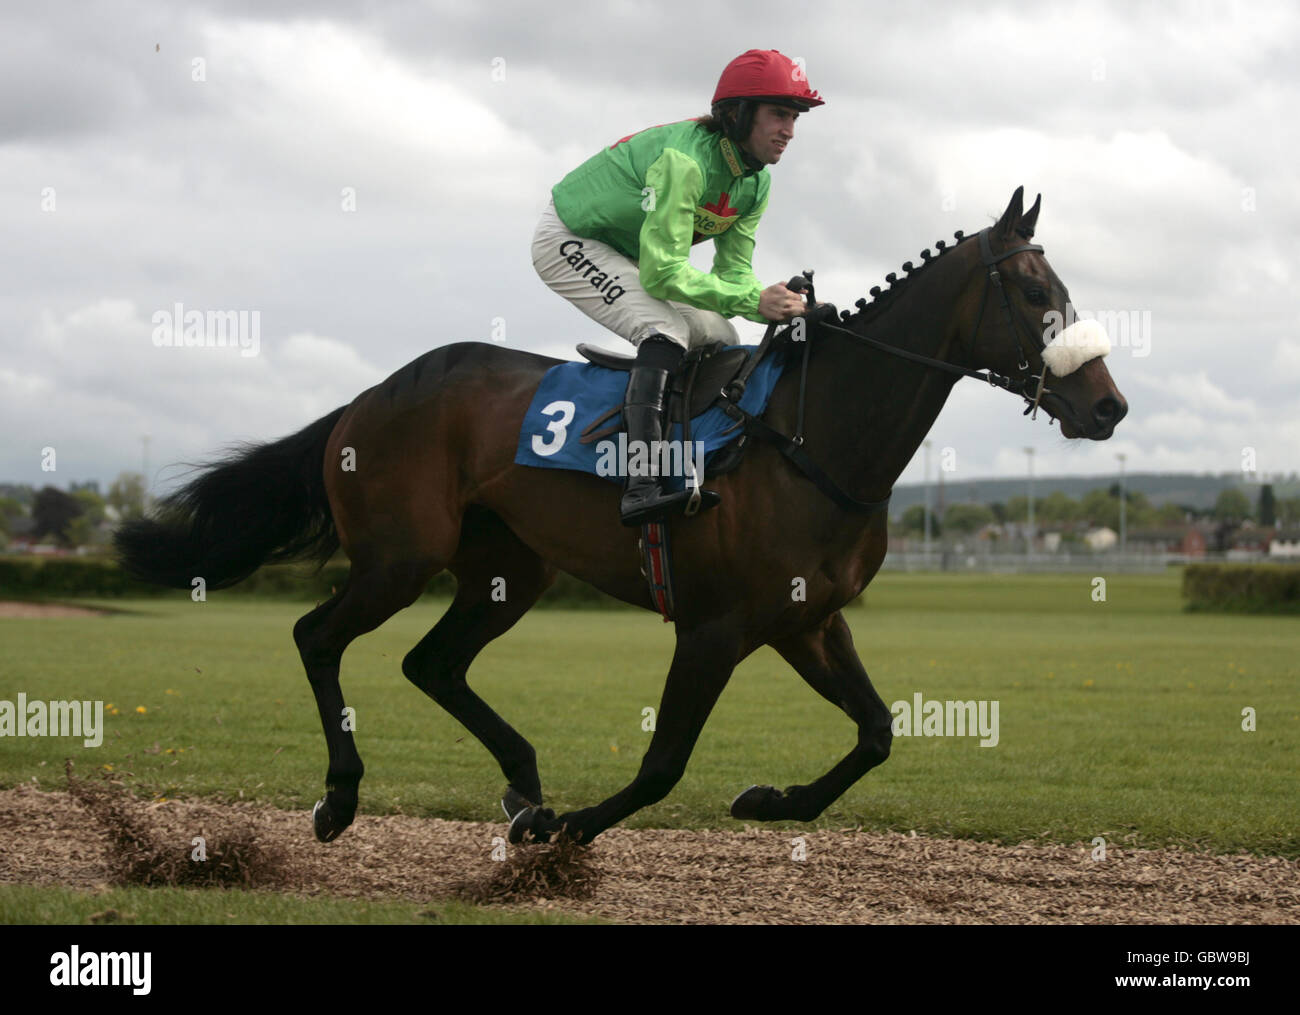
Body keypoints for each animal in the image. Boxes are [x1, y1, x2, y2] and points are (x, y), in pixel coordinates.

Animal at [114, 185, 1128, 842]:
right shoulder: (716, 627)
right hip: (399, 556)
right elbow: (663, 762)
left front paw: (769, 800)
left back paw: (523, 787)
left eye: (1063, 289)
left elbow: (877, 732)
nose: (1109, 405)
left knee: (430, 662)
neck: (810, 439)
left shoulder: (807, 620)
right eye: (1033, 292)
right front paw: (575, 828)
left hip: (506, 569)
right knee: (317, 636)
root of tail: (367, 397)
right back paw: (342, 798)